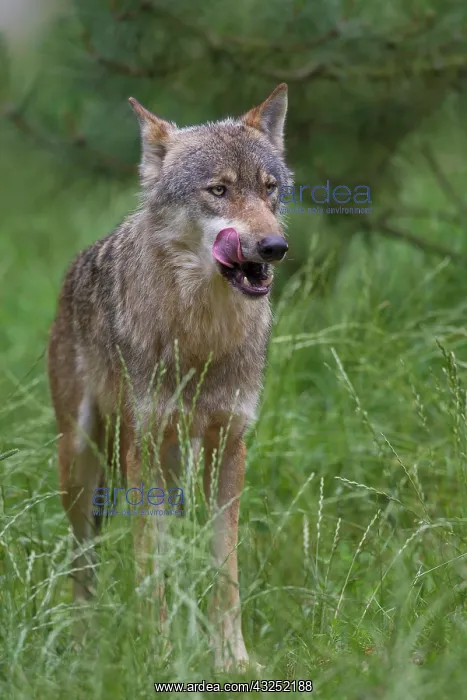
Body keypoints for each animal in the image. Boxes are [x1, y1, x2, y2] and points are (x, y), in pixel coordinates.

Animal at [47, 83, 291, 670]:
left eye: (269, 189)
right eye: (218, 190)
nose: (273, 248)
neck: (202, 337)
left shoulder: (230, 448)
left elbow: (225, 573)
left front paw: (232, 659)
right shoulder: (142, 451)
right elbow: (149, 568)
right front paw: (156, 656)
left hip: (175, 468)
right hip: (83, 459)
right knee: (83, 560)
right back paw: (85, 646)